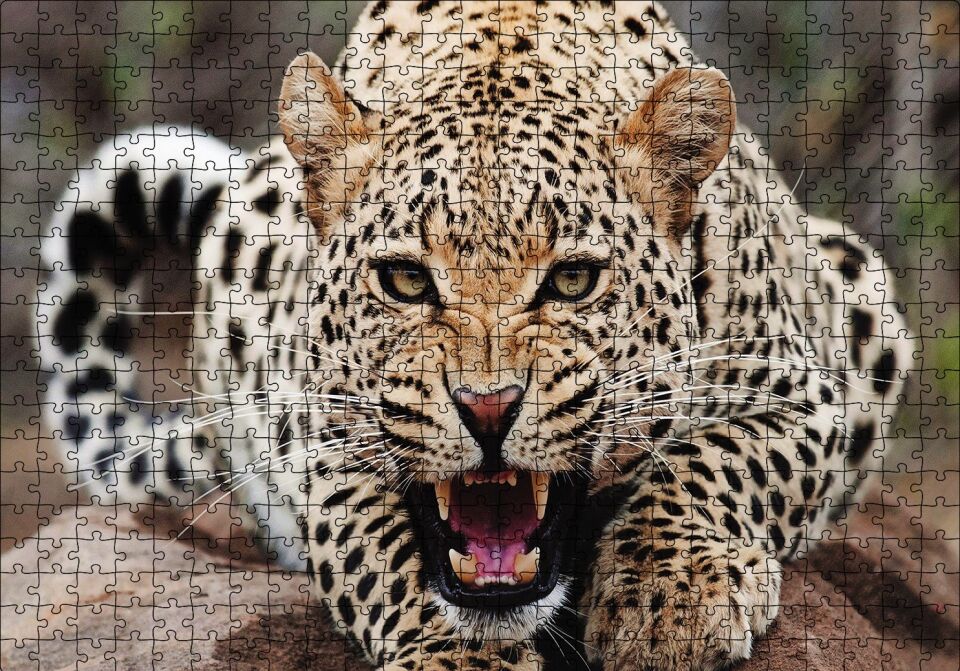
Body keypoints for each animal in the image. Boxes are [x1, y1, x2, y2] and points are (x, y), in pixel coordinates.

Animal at [37, 1, 909, 669]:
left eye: (572, 281)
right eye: (405, 280)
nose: (488, 408)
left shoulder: (807, 393)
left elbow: (716, 462)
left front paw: (670, 599)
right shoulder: (316, 432)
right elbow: (379, 550)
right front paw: (461, 655)